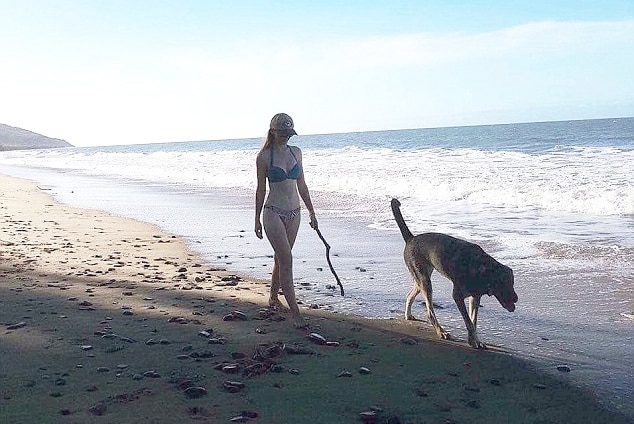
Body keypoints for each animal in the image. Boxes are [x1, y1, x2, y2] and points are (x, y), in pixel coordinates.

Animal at [390, 199, 520, 348]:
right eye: (503, 284)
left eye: (512, 283)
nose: (516, 299)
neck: (482, 270)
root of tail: (411, 239)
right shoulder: (457, 296)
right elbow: (469, 321)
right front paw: (472, 341)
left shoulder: (475, 298)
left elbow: (473, 322)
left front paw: (475, 340)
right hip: (424, 281)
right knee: (430, 312)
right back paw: (441, 332)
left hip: (420, 279)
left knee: (410, 295)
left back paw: (408, 315)